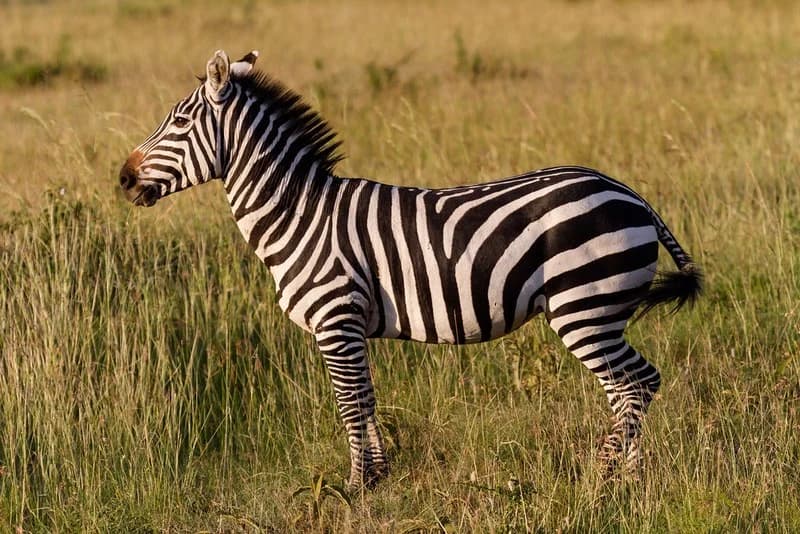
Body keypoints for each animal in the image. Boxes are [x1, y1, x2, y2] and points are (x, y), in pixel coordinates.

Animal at [120, 49, 702, 490]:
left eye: (178, 122)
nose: (123, 177)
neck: (300, 213)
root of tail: (630, 193)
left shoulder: (336, 321)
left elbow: (350, 405)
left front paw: (356, 487)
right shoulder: (352, 328)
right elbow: (367, 399)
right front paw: (378, 477)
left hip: (585, 308)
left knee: (639, 383)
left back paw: (601, 475)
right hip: (599, 314)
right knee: (627, 390)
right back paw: (629, 481)